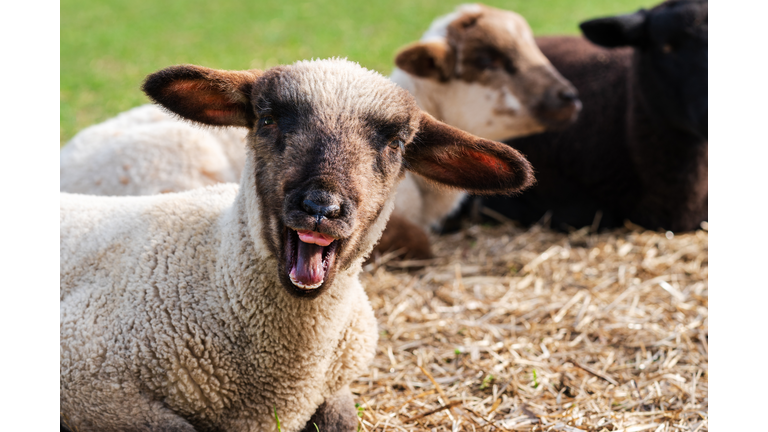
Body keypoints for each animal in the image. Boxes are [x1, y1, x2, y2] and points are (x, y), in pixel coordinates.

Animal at [60, 58, 534, 432]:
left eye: (397, 143)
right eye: (267, 119)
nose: (321, 206)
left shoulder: (335, 385)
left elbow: (343, 421)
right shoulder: (93, 384)